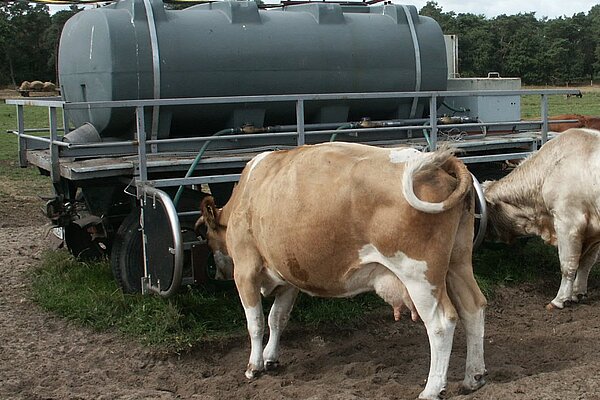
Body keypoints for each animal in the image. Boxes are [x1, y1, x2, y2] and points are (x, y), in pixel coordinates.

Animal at [197, 142, 488, 398]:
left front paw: (254, 366)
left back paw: (432, 389)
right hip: (458, 262)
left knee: (441, 323)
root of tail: (436, 163)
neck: (248, 194)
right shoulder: (289, 276)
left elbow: (256, 323)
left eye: (208, 237)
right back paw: (473, 377)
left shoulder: (245, 272)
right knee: (473, 307)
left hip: (419, 275)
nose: (217, 274)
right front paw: (271, 359)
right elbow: (277, 318)